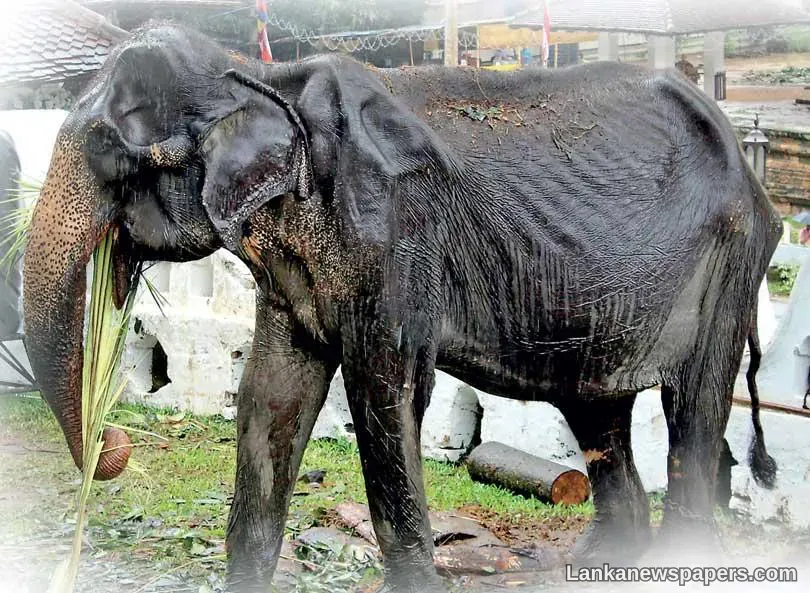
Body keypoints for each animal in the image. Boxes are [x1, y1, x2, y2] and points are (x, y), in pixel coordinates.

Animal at [23, 24, 781, 593]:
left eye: (107, 151)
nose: (114, 442)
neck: (262, 77)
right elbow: (270, 397)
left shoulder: (394, 235)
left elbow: (388, 396)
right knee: (598, 412)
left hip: (731, 264)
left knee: (693, 407)